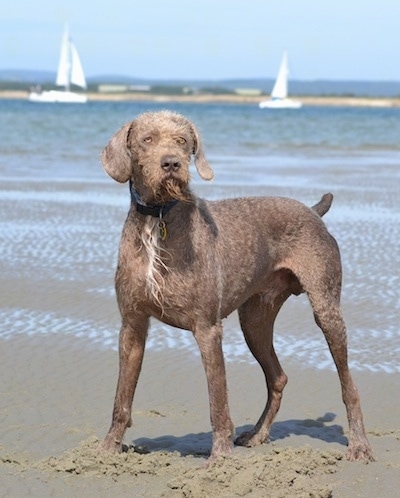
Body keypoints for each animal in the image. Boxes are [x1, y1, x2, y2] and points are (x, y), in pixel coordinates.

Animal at [98, 111, 374, 464]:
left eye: (182, 141)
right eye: (147, 139)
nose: (172, 163)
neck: (159, 218)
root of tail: (313, 212)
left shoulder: (207, 328)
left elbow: (218, 401)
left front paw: (220, 458)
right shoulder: (132, 325)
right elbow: (122, 397)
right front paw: (108, 449)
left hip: (326, 309)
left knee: (348, 385)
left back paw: (360, 445)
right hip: (255, 321)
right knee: (277, 377)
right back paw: (257, 435)